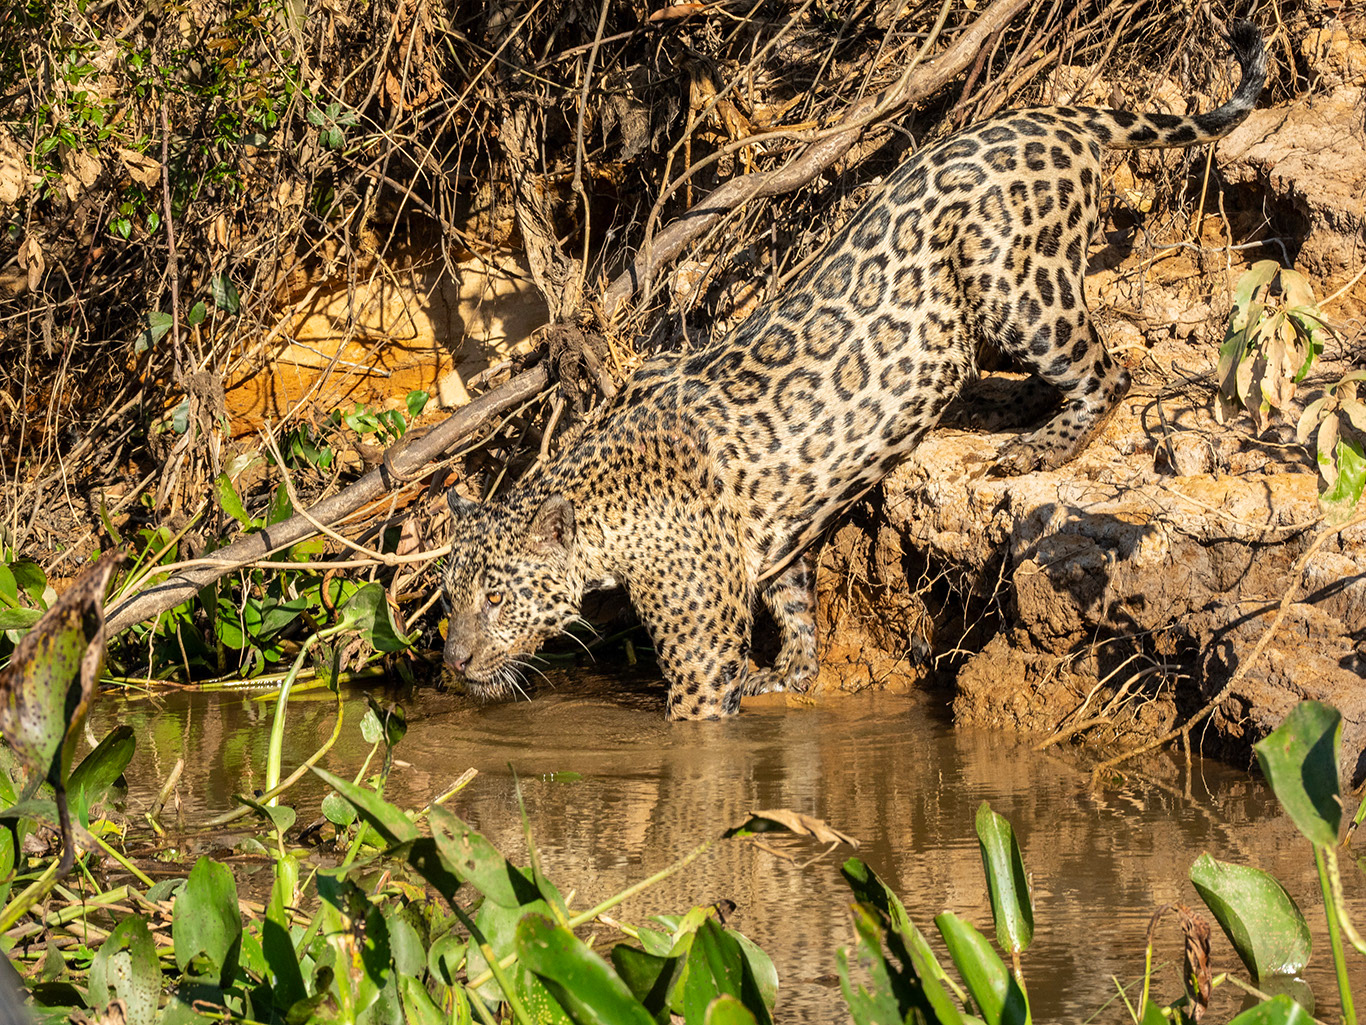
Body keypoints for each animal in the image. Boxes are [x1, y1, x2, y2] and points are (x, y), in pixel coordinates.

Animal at [442, 21, 1266, 720]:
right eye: (452, 596)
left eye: (496, 597)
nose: (453, 661)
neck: (609, 509)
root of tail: (1059, 117)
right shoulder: (780, 539)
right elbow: (796, 610)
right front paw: (789, 672)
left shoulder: (699, 651)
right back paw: (1001, 409)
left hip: (1016, 284)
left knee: (1105, 370)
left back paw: (1037, 446)